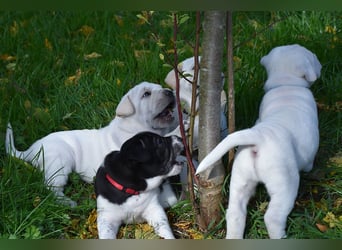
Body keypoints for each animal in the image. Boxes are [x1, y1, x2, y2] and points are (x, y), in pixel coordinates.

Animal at [196, 44, 322, 238]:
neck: (286, 85)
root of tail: (259, 137)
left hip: (240, 180)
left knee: (235, 213)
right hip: (285, 184)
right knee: (273, 217)